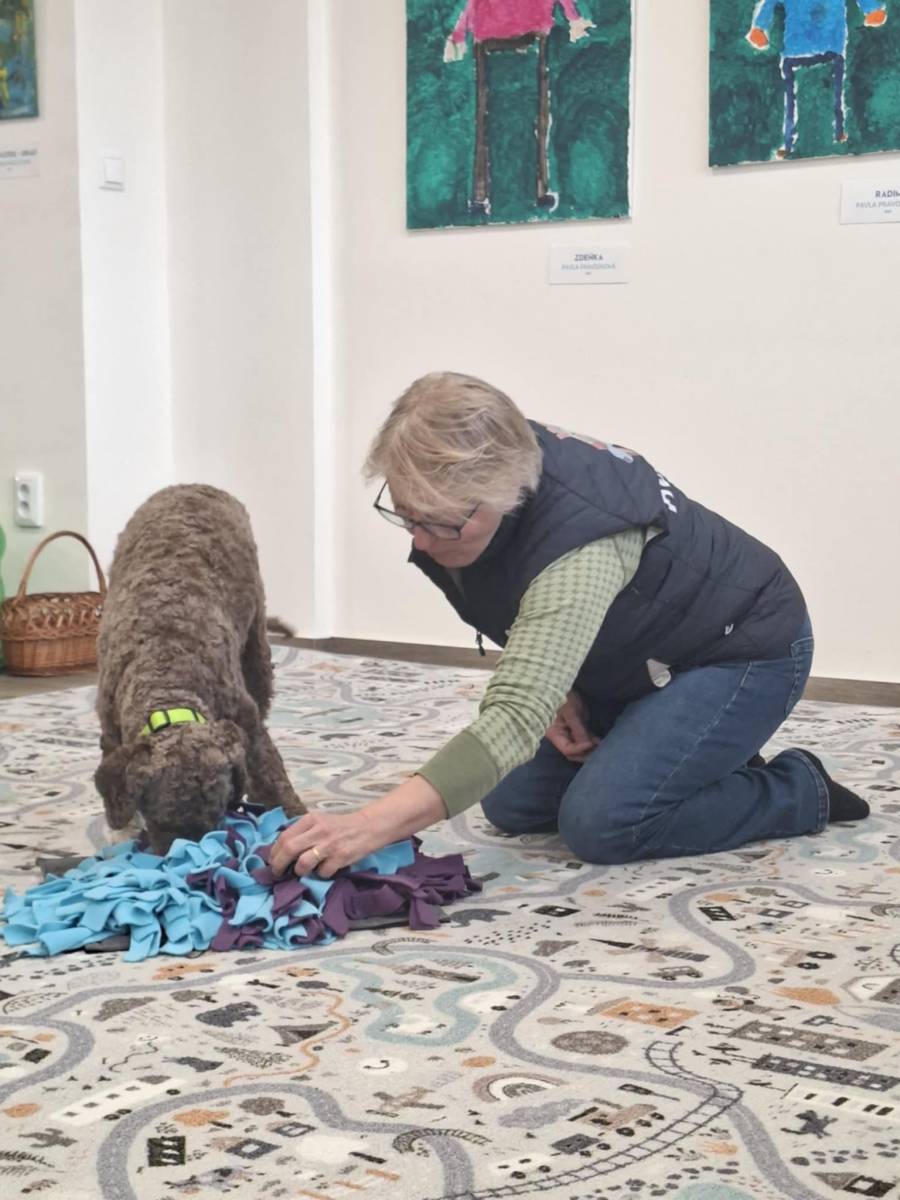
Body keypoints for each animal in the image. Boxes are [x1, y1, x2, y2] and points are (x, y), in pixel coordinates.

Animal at [94, 484, 306, 854]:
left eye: (216, 816)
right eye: (161, 820)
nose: (187, 855)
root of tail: (194, 485)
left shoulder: (248, 726)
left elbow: (272, 776)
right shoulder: (109, 725)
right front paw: (120, 830)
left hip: (256, 643)